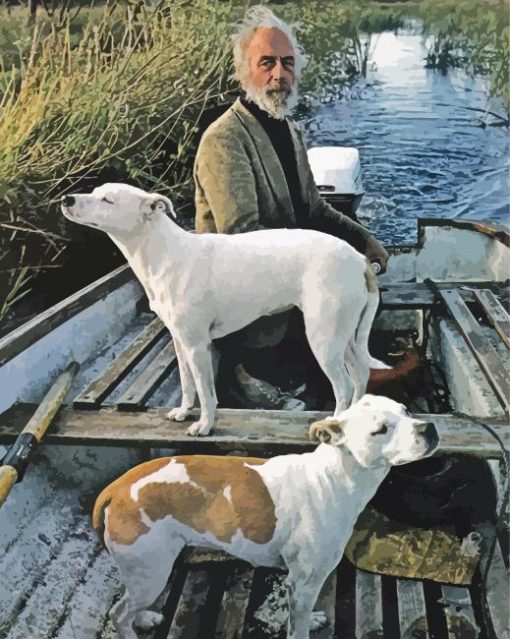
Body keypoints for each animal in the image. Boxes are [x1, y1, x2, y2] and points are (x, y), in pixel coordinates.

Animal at [61, 182, 388, 438]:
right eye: (94, 191)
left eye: (108, 200)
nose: (66, 199)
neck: (162, 253)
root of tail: (360, 260)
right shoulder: (180, 342)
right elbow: (187, 384)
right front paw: (183, 412)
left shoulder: (197, 346)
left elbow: (206, 392)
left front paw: (204, 426)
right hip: (343, 336)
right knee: (360, 374)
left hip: (324, 337)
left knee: (343, 386)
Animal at [91, 396, 438, 639]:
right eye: (380, 429)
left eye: (406, 411)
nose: (429, 428)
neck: (333, 477)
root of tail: (116, 489)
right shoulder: (304, 581)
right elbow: (297, 628)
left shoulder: (302, 585)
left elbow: (302, 616)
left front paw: (313, 619)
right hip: (152, 570)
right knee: (119, 613)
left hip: (147, 571)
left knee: (128, 603)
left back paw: (145, 617)